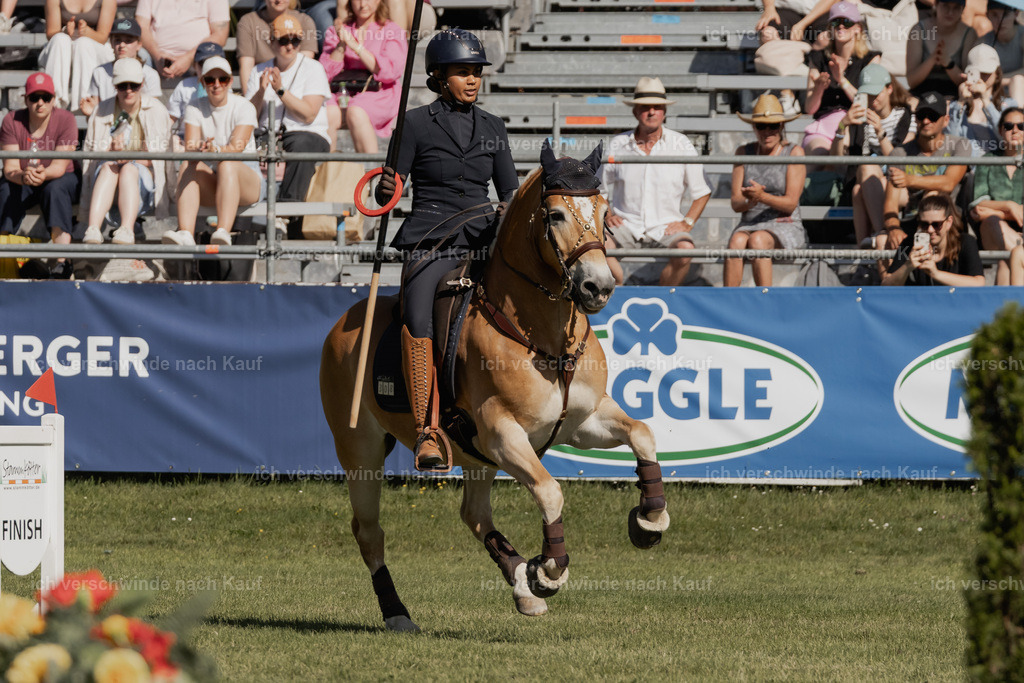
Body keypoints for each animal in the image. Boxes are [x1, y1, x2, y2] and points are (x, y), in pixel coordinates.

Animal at [319, 142, 671, 631]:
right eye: (555, 215)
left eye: (604, 212)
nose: (598, 287)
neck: (544, 335)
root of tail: (343, 325)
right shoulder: (502, 433)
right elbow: (550, 490)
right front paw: (549, 569)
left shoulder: (582, 422)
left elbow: (642, 433)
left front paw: (650, 519)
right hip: (360, 450)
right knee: (369, 532)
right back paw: (399, 613)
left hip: (474, 457)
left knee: (474, 514)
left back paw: (521, 585)